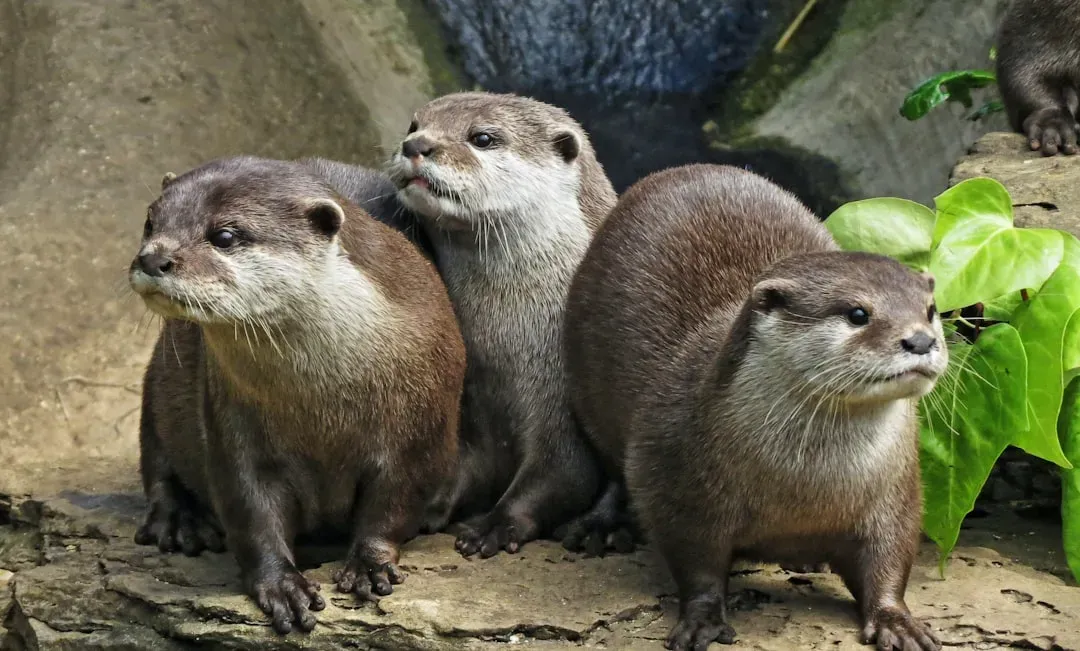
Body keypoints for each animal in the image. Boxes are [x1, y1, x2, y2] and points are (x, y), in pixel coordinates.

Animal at [129, 156, 466, 634]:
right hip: (158, 380)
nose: (153, 257)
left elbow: (395, 501)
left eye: (225, 236)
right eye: (149, 221)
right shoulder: (232, 424)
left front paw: (369, 565)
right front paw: (282, 585)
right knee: (156, 456)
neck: (325, 404)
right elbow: (249, 509)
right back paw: (179, 522)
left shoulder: (421, 426)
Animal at [386, 92, 618, 557]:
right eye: (414, 125)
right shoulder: (473, 405)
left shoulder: (559, 404)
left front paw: (492, 526)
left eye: (483, 138)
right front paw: (426, 508)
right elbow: (463, 468)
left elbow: (560, 474)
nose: (416, 145)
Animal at [565, 164, 946, 650]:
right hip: (586, 384)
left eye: (930, 310)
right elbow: (696, 563)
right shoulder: (675, 476)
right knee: (612, 465)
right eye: (858, 314)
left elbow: (890, 558)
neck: (807, 487)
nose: (920, 340)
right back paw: (601, 526)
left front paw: (897, 621)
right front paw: (703, 620)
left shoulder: (896, 489)